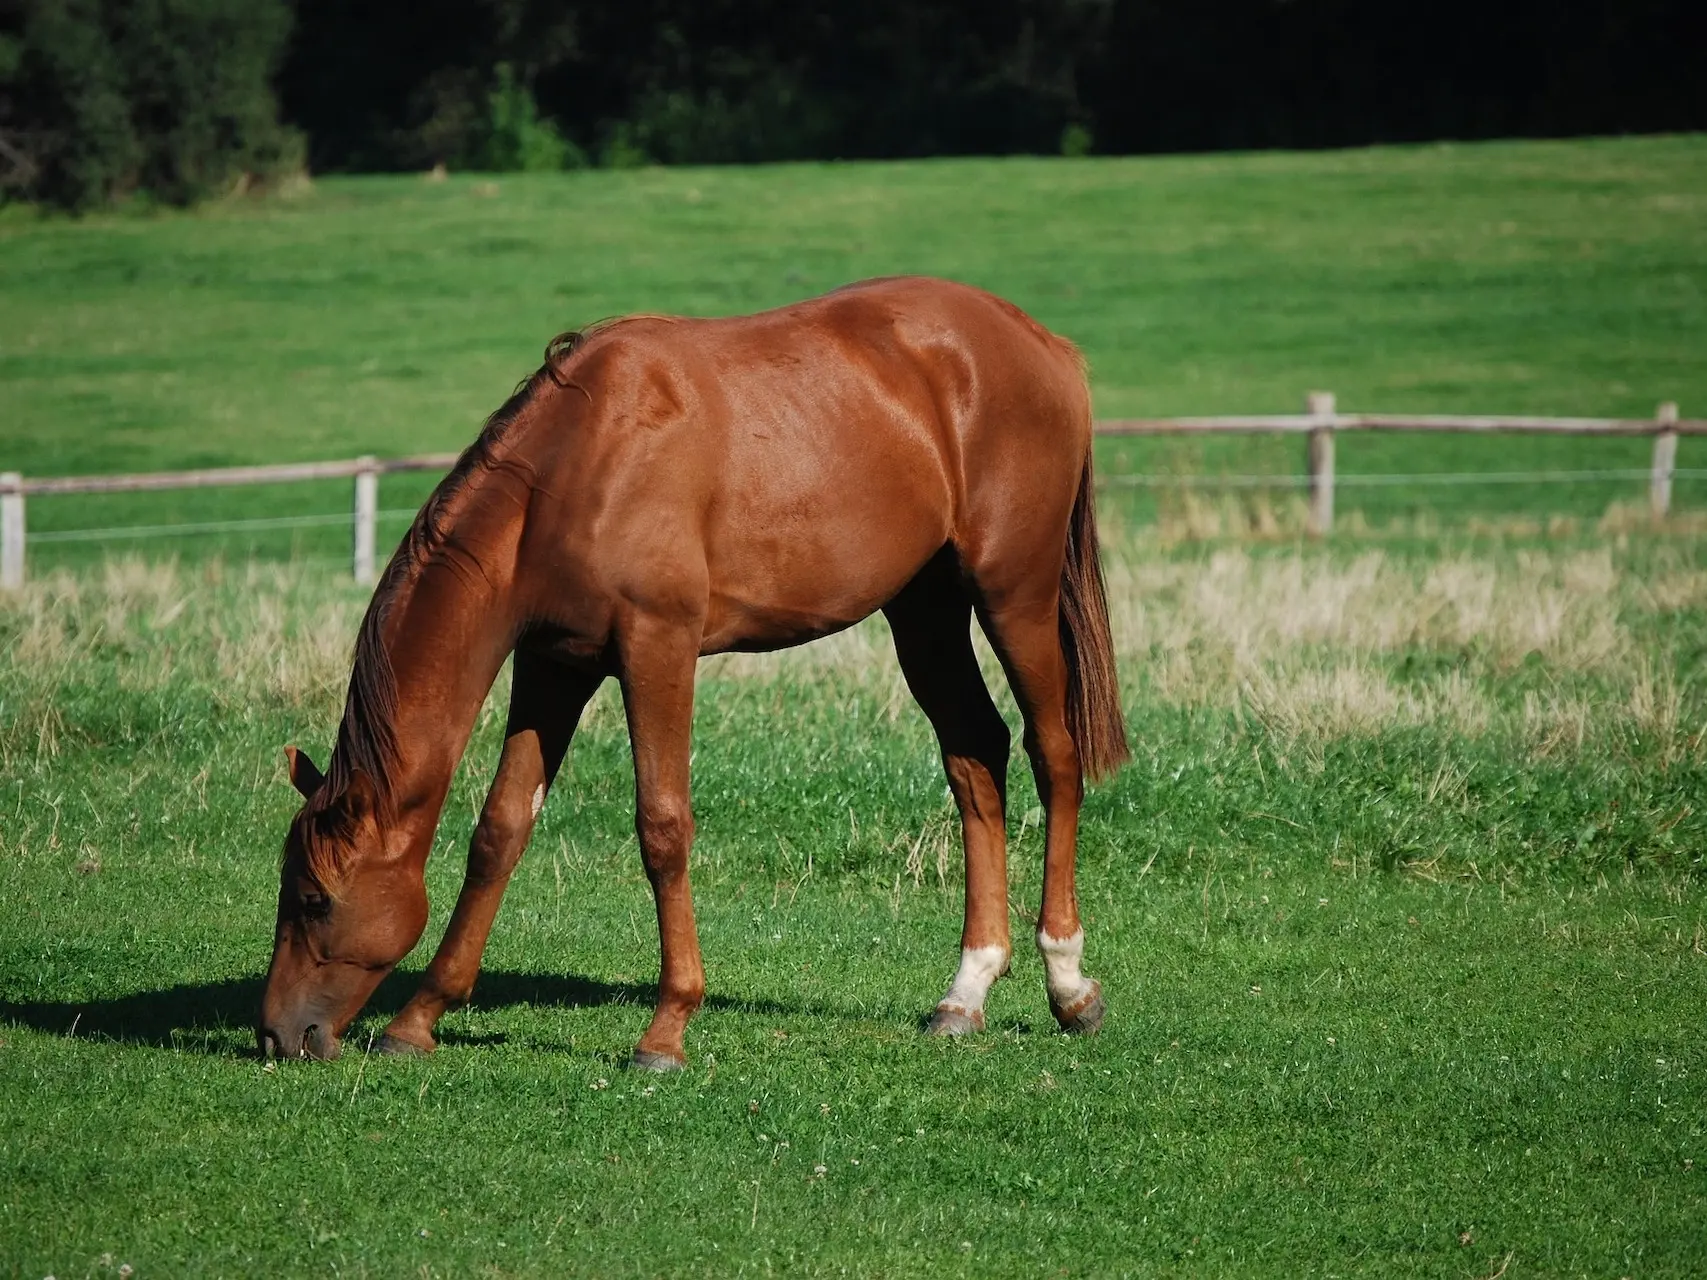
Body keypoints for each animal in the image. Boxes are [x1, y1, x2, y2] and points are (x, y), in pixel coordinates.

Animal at [259, 278, 1126, 1071]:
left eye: (313, 897)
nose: (277, 1034)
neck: (575, 467)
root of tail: (1040, 344)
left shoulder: (658, 650)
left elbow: (662, 828)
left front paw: (666, 1029)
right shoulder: (551, 666)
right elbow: (500, 830)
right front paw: (419, 1019)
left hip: (1013, 593)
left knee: (1053, 755)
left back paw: (1067, 983)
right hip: (924, 610)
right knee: (975, 753)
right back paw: (964, 993)